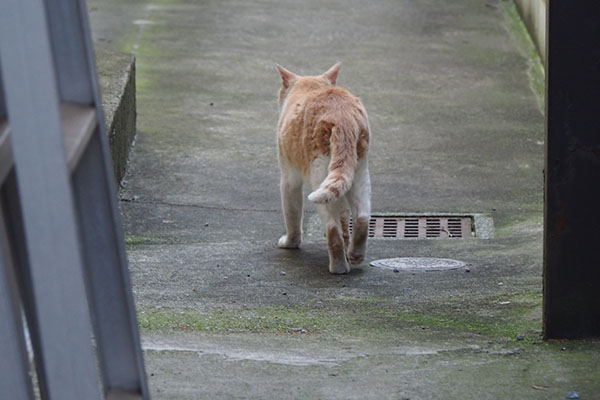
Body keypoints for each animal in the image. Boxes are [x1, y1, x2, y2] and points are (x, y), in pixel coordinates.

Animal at [276, 63, 370, 276]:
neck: (311, 88)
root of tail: (342, 116)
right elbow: (344, 220)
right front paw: (347, 246)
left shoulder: (289, 179)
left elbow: (292, 213)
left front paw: (291, 242)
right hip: (358, 173)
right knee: (362, 218)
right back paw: (354, 255)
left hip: (319, 179)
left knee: (332, 228)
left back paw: (338, 266)